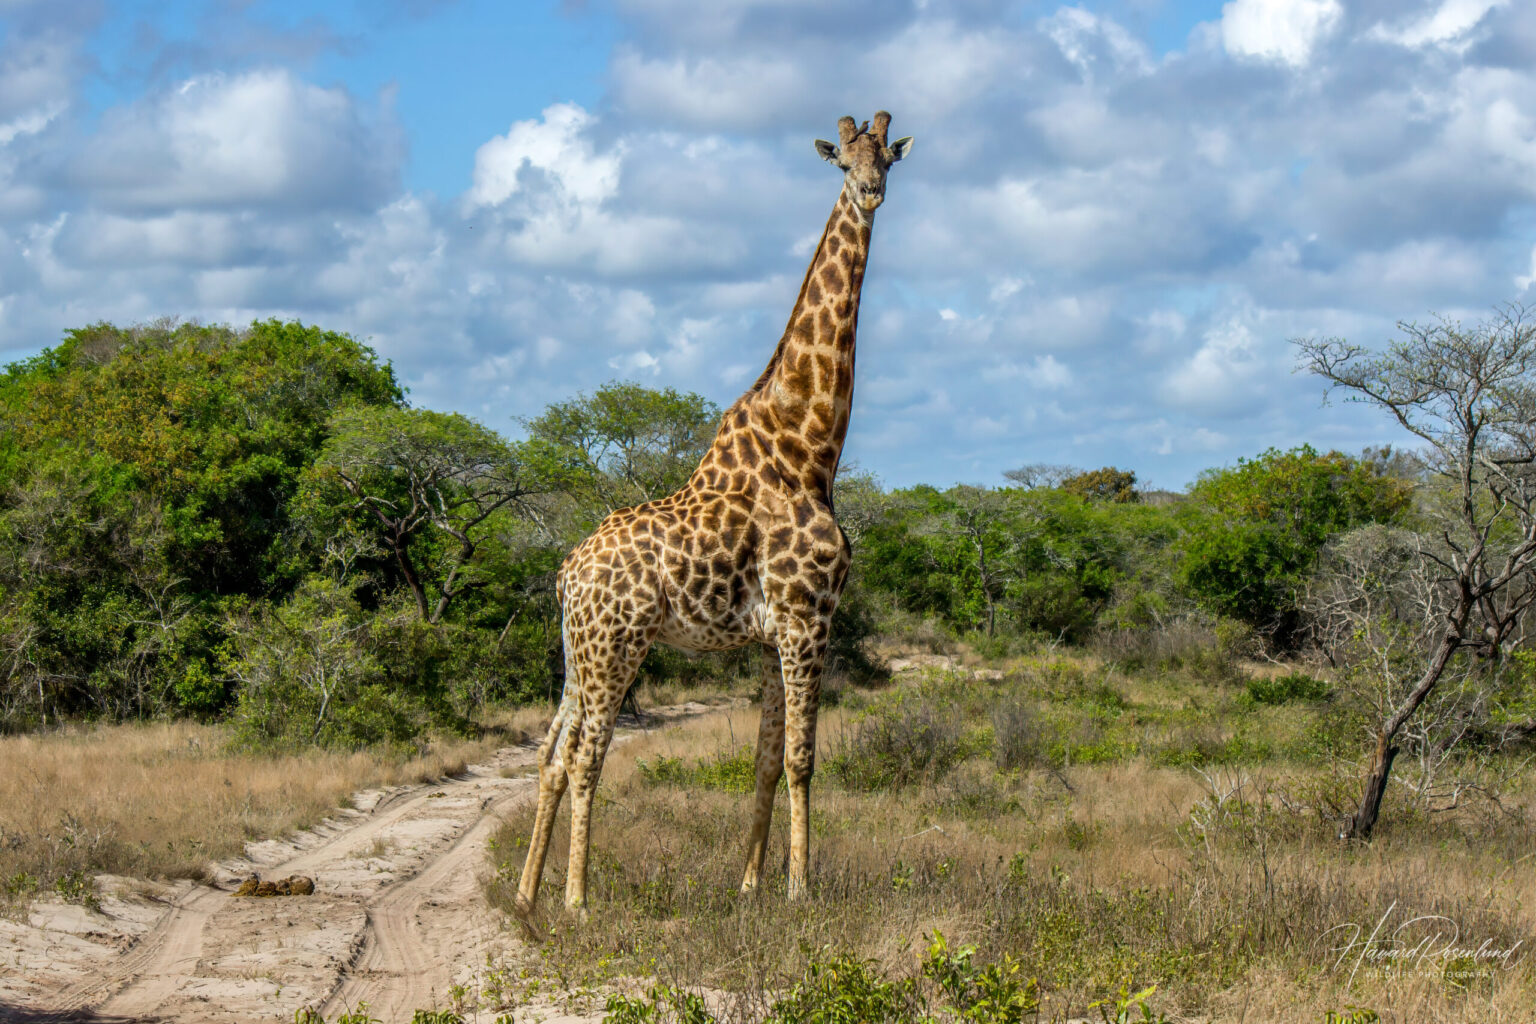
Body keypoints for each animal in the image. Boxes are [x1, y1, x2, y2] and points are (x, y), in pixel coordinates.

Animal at [515, 112, 912, 917]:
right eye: (842, 160)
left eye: (887, 156)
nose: (870, 192)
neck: (810, 448)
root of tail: (567, 574)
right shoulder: (807, 616)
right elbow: (803, 758)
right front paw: (799, 891)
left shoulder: (771, 634)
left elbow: (765, 760)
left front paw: (751, 885)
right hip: (618, 644)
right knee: (586, 754)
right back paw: (577, 899)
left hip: (578, 649)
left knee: (550, 750)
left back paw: (527, 894)